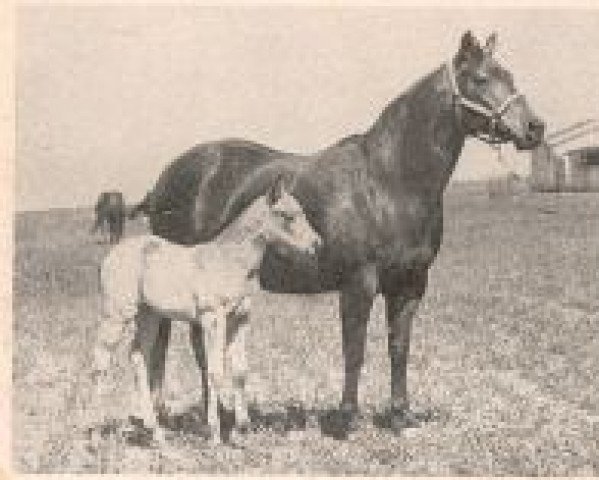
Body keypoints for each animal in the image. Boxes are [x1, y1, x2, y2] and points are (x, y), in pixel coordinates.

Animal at [92, 177, 322, 446]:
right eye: (287, 215)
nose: (316, 244)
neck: (230, 261)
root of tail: (111, 255)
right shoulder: (213, 318)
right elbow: (214, 371)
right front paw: (215, 433)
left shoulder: (240, 319)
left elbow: (240, 371)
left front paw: (243, 429)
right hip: (117, 314)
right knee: (101, 364)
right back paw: (95, 433)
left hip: (149, 315)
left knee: (138, 357)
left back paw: (156, 432)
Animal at [134, 31, 548, 436]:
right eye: (481, 79)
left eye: (509, 75)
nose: (535, 128)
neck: (389, 181)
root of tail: (166, 178)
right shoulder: (358, 283)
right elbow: (355, 350)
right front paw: (345, 418)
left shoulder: (410, 284)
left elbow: (399, 349)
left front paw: (400, 416)